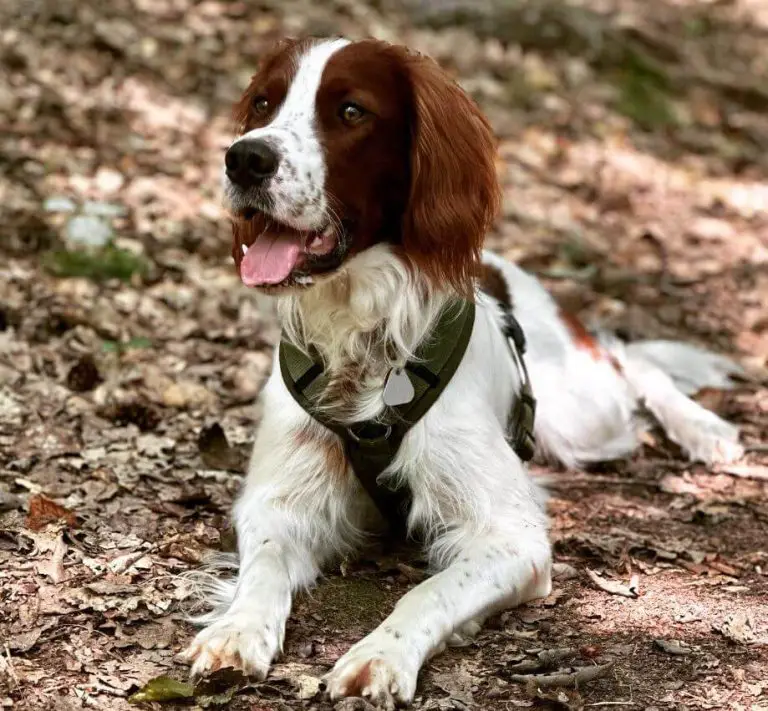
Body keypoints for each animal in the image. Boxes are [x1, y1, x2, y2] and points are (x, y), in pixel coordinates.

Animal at [180, 37, 744, 708]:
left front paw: (380, 655)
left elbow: (429, 590)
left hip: (581, 412)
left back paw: (705, 429)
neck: (363, 343)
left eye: (350, 111)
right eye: (264, 103)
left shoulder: (513, 536)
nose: (245, 158)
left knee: (630, 359)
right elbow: (263, 567)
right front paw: (235, 631)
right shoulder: (277, 502)